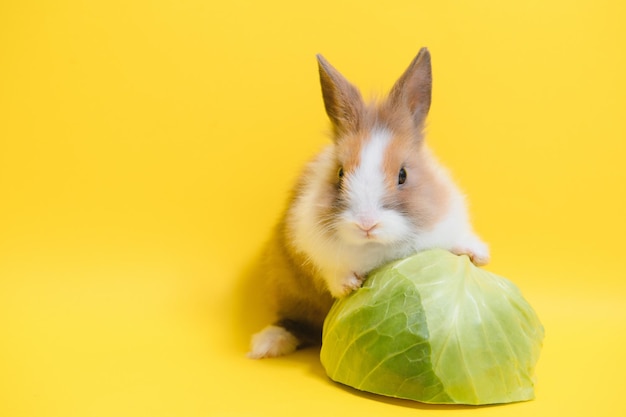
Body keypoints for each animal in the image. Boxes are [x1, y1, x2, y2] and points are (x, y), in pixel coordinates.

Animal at [245, 48, 488, 358]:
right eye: (340, 173)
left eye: (402, 175)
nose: (366, 224)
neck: (376, 247)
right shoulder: (310, 246)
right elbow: (332, 272)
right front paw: (349, 285)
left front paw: (478, 255)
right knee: (294, 322)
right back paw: (265, 344)